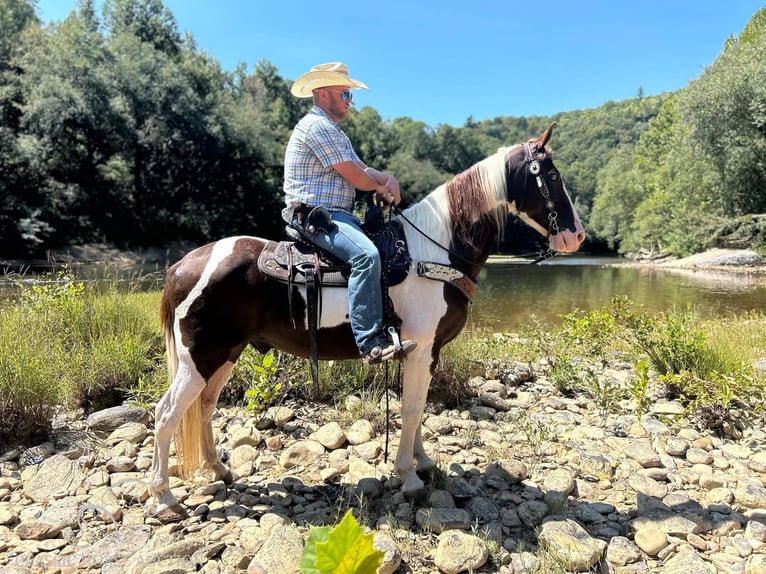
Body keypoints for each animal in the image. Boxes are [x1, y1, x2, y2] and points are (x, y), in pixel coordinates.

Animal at [150, 124, 588, 516]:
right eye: (551, 175)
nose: (577, 236)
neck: (434, 250)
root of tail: (182, 265)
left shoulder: (428, 353)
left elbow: (419, 407)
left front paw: (424, 462)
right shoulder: (420, 349)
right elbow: (410, 410)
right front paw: (409, 476)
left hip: (225, 353)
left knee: (204, 406)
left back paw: (219, 470)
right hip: (199, 358)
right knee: (167, 412)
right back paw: (164, 497)